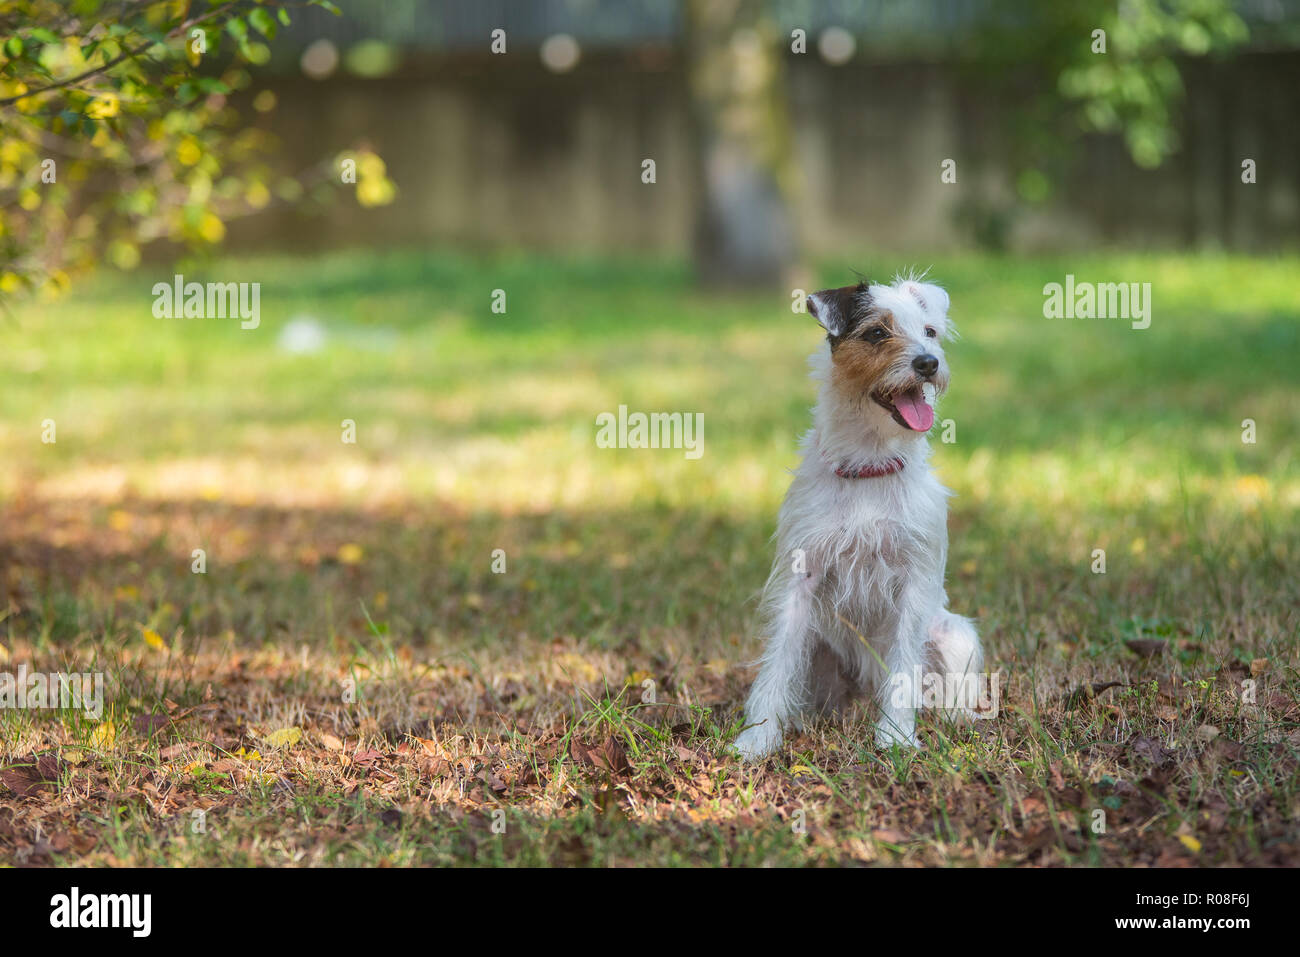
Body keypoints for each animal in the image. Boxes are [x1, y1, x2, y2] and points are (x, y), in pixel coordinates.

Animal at [733, 273, 982, 759]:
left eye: (930, 331)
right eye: (877, 333)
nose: (928, 363)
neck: (870, 465)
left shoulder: (914, 581)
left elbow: (904, 666)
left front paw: (896, 735)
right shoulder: (799, 579)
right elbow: (776, 665)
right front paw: (757, 738)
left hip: (954, 633)